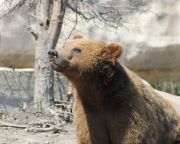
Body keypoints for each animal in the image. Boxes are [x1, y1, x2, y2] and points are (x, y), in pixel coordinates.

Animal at [48, 35, 180, 144]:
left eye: (77, 49)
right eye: (65, 45)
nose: (53, 52)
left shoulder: (127, 110)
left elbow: (132, 136)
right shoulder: (89, 111)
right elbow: (91, 137)